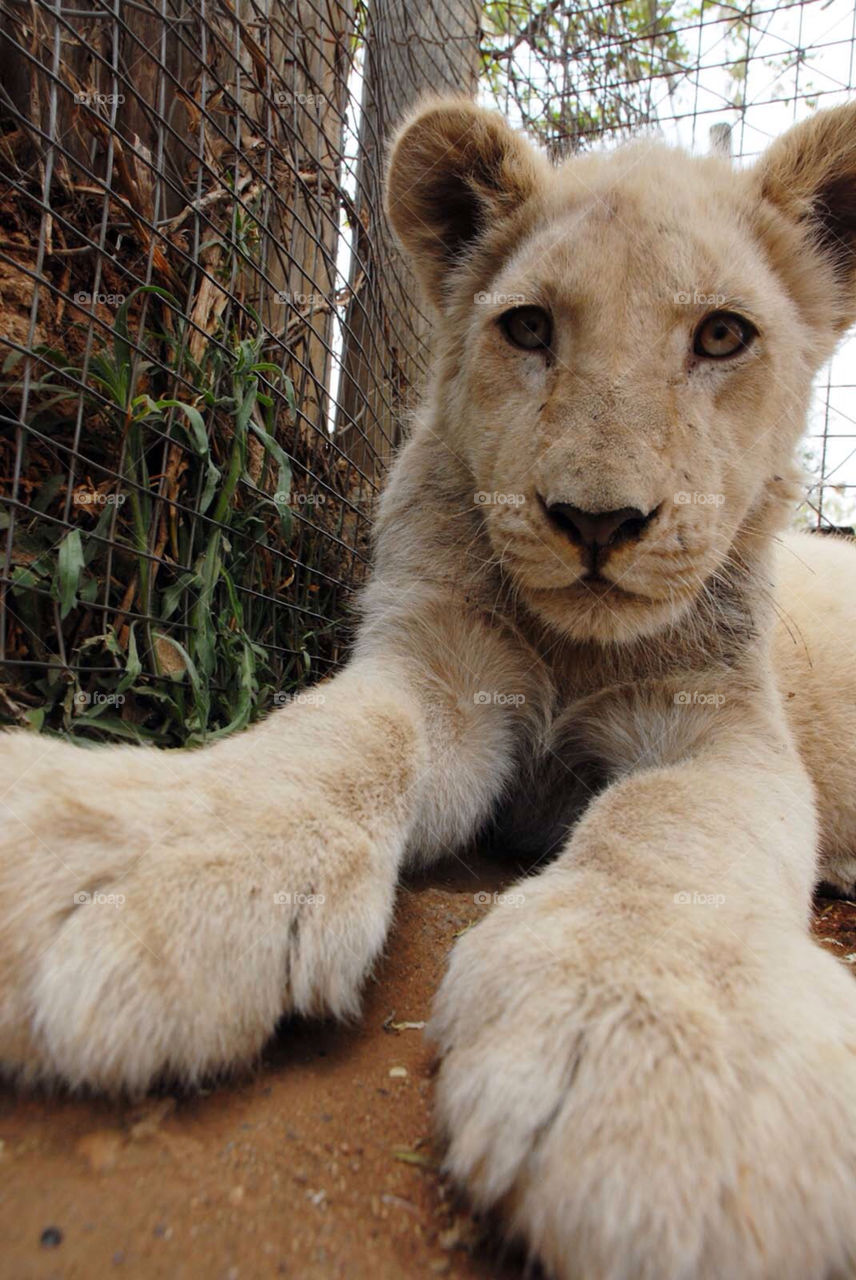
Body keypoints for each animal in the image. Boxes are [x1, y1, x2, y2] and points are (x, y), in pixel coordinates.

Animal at [3, 97, 856, 1279]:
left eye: (723, 336)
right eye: (529, 329)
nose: (597, 521)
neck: (575, 651)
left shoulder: (722, 722)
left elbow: (678, 822)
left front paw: (670, 1049)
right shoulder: (438, 667)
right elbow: (342, 733)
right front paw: (129, 851)